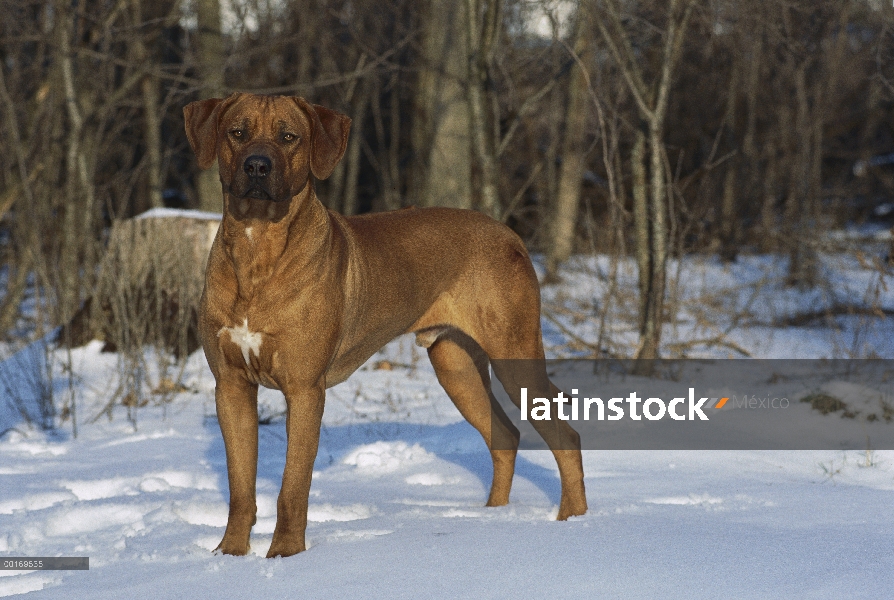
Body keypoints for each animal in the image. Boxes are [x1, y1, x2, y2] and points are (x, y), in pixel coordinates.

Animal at [182, 94, 588, 556]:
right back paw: (492, 518)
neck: (258, 247)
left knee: (565, 437)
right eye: (237, 132)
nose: (256, 167)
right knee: (505, 436)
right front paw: (230, 553)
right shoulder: (231, 385)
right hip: (456, 367)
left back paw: (572, 523)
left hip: (515, 355)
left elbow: (292, 486)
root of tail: (511, 235)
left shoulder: (304, 389)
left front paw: (285, 554)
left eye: (289, 137)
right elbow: (239, 485)